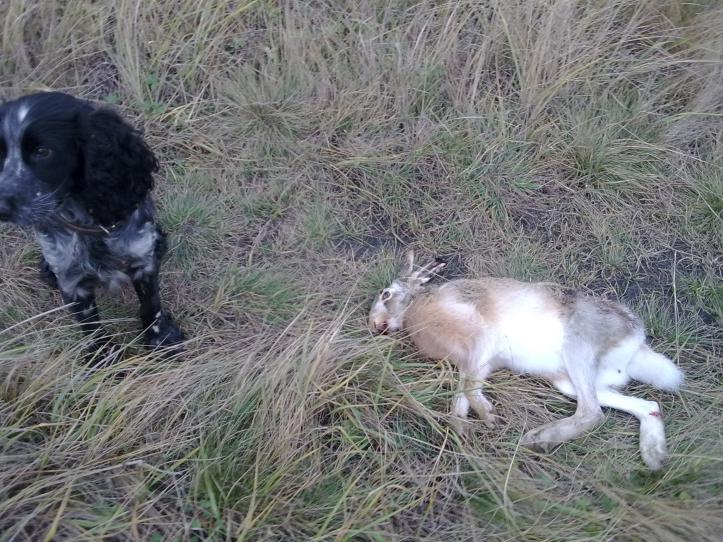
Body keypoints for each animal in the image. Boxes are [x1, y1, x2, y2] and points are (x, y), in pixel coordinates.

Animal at [0, 91, 184, 356]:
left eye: (43, 151)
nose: (1, 207)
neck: (90, 226)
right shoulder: (72, 281)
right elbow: (91, 326)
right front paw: (102, 357)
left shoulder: (143, 261)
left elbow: (151, 305)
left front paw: (162, 339)